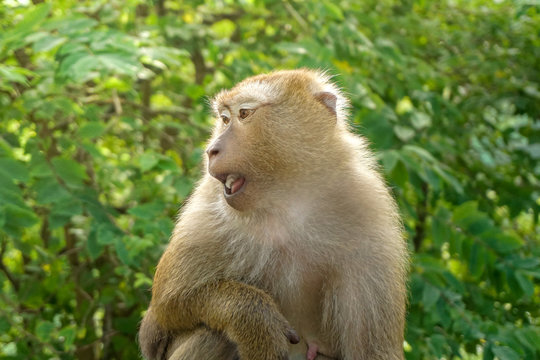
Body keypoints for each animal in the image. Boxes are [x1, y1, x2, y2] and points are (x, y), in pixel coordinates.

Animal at [137, 68, 408, 360]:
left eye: (244, 113)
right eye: (224, 119)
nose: (211, 150)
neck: (289, 200)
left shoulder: (369, 212)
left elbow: (373, 350)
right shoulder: (207, 207)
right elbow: (162, 313)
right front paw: (254, 319)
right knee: (213, 336)